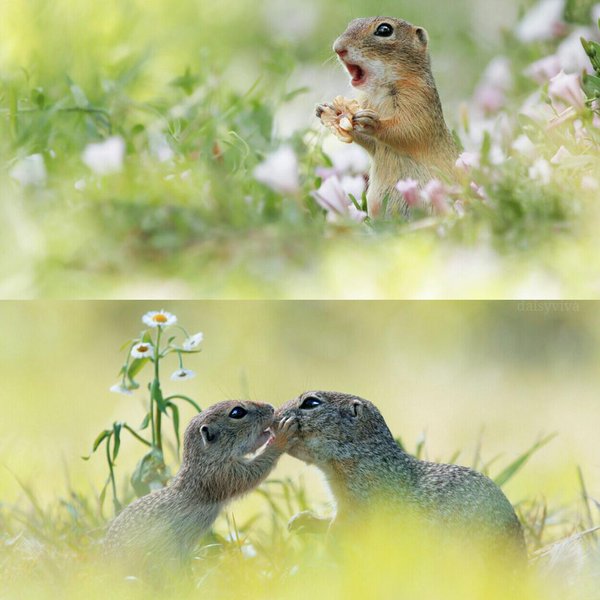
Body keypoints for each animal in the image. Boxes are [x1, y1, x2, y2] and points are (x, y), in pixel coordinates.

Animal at [105, 400, 300, 568]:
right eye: (237, 412)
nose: (271, 407)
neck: (204, 461)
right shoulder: (220, 475)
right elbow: (252, 473)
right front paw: (281, 437)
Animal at [276, 390, 524, 556]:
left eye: (311, 402)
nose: (275, 414)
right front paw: (303, 520)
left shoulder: (362, 497)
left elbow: (347, 524)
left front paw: (329, 540)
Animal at [316, 15, 458, 218]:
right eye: (351, 23)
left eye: (384, 30)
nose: (338, 48)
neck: (379, 90)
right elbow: (372, 143)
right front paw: (325, 111)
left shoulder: (419, 100)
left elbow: (409, 129)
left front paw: (372, 123)